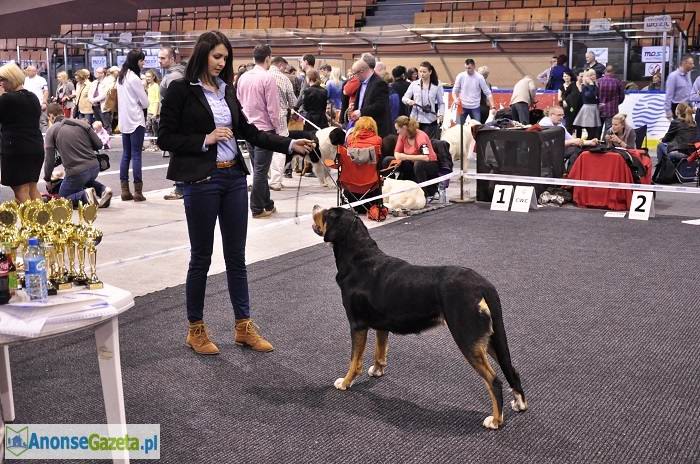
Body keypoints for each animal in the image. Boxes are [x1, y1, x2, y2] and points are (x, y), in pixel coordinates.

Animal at [314, 205, 532, 430]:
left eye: (328, 214)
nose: (315, 207)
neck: (359, 258)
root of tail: (483, 285)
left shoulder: (357, 325)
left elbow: (354, 361)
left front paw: (345, 382)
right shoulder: (382, 325)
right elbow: (380, 352)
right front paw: (377, 370)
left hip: (468, 338)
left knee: (494, 381)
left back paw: (495, 420)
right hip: (489, 339)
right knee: (511, 370)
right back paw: (519, 404)